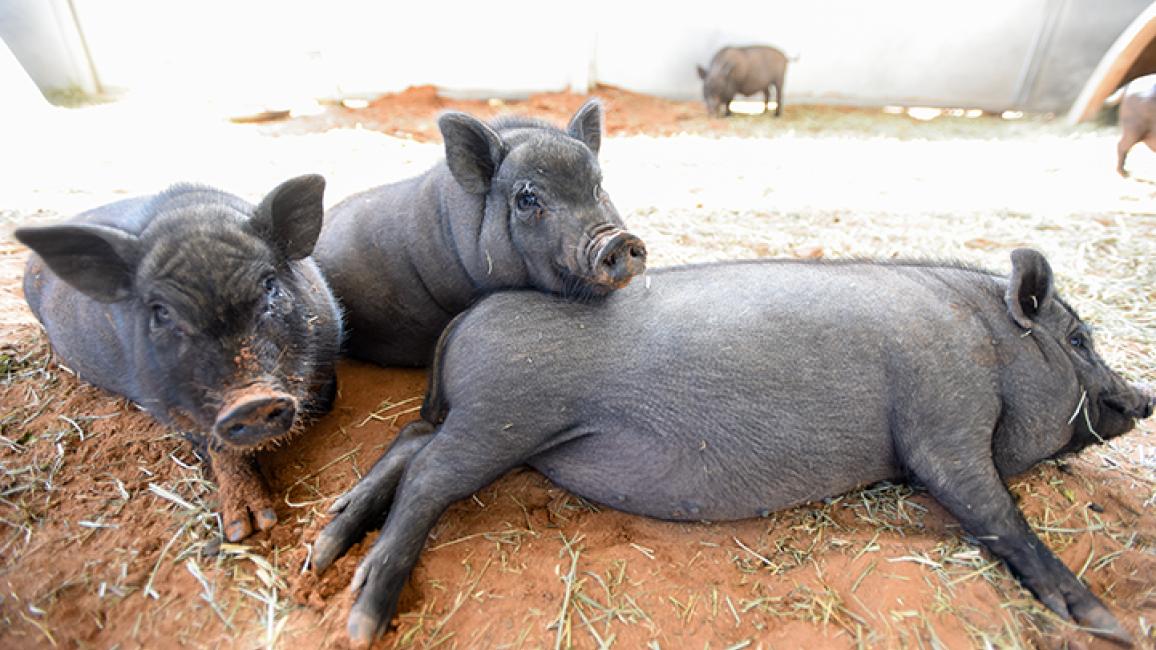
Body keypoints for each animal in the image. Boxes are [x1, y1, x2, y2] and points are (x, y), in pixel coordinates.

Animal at [15, 175, 343, 542]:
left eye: (270, 284)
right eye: (162, 311)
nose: (250, 401)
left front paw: (256, 525)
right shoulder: (162, 402)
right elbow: (216, 447)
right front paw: (246, 528)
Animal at [313, 249, 1153, 646]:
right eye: (1078, 340)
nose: (1143, 397)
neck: (985, 344)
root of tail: (468, 316)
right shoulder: (943, 425)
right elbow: (1000, 517)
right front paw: (1109, 624)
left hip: (477, 419)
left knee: (405, 443)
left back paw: (321, 552)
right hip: (504, 416)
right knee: (426, 477)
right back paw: (360, 619)